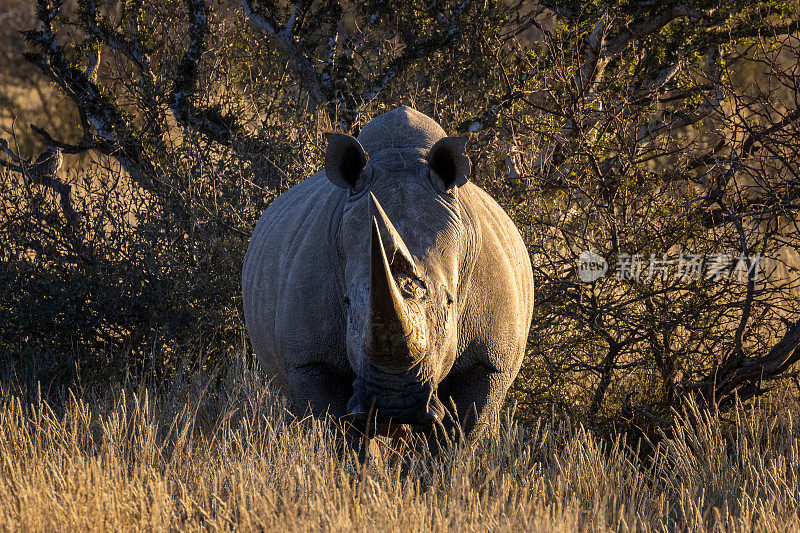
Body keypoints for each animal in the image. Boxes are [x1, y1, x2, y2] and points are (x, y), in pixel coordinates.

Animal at [241, 105, 536, 436]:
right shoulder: (308, 359)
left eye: (450, 302)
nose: (395, 403)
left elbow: (463, 432)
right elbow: (333, 430)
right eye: (347, 303)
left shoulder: (491, 361)